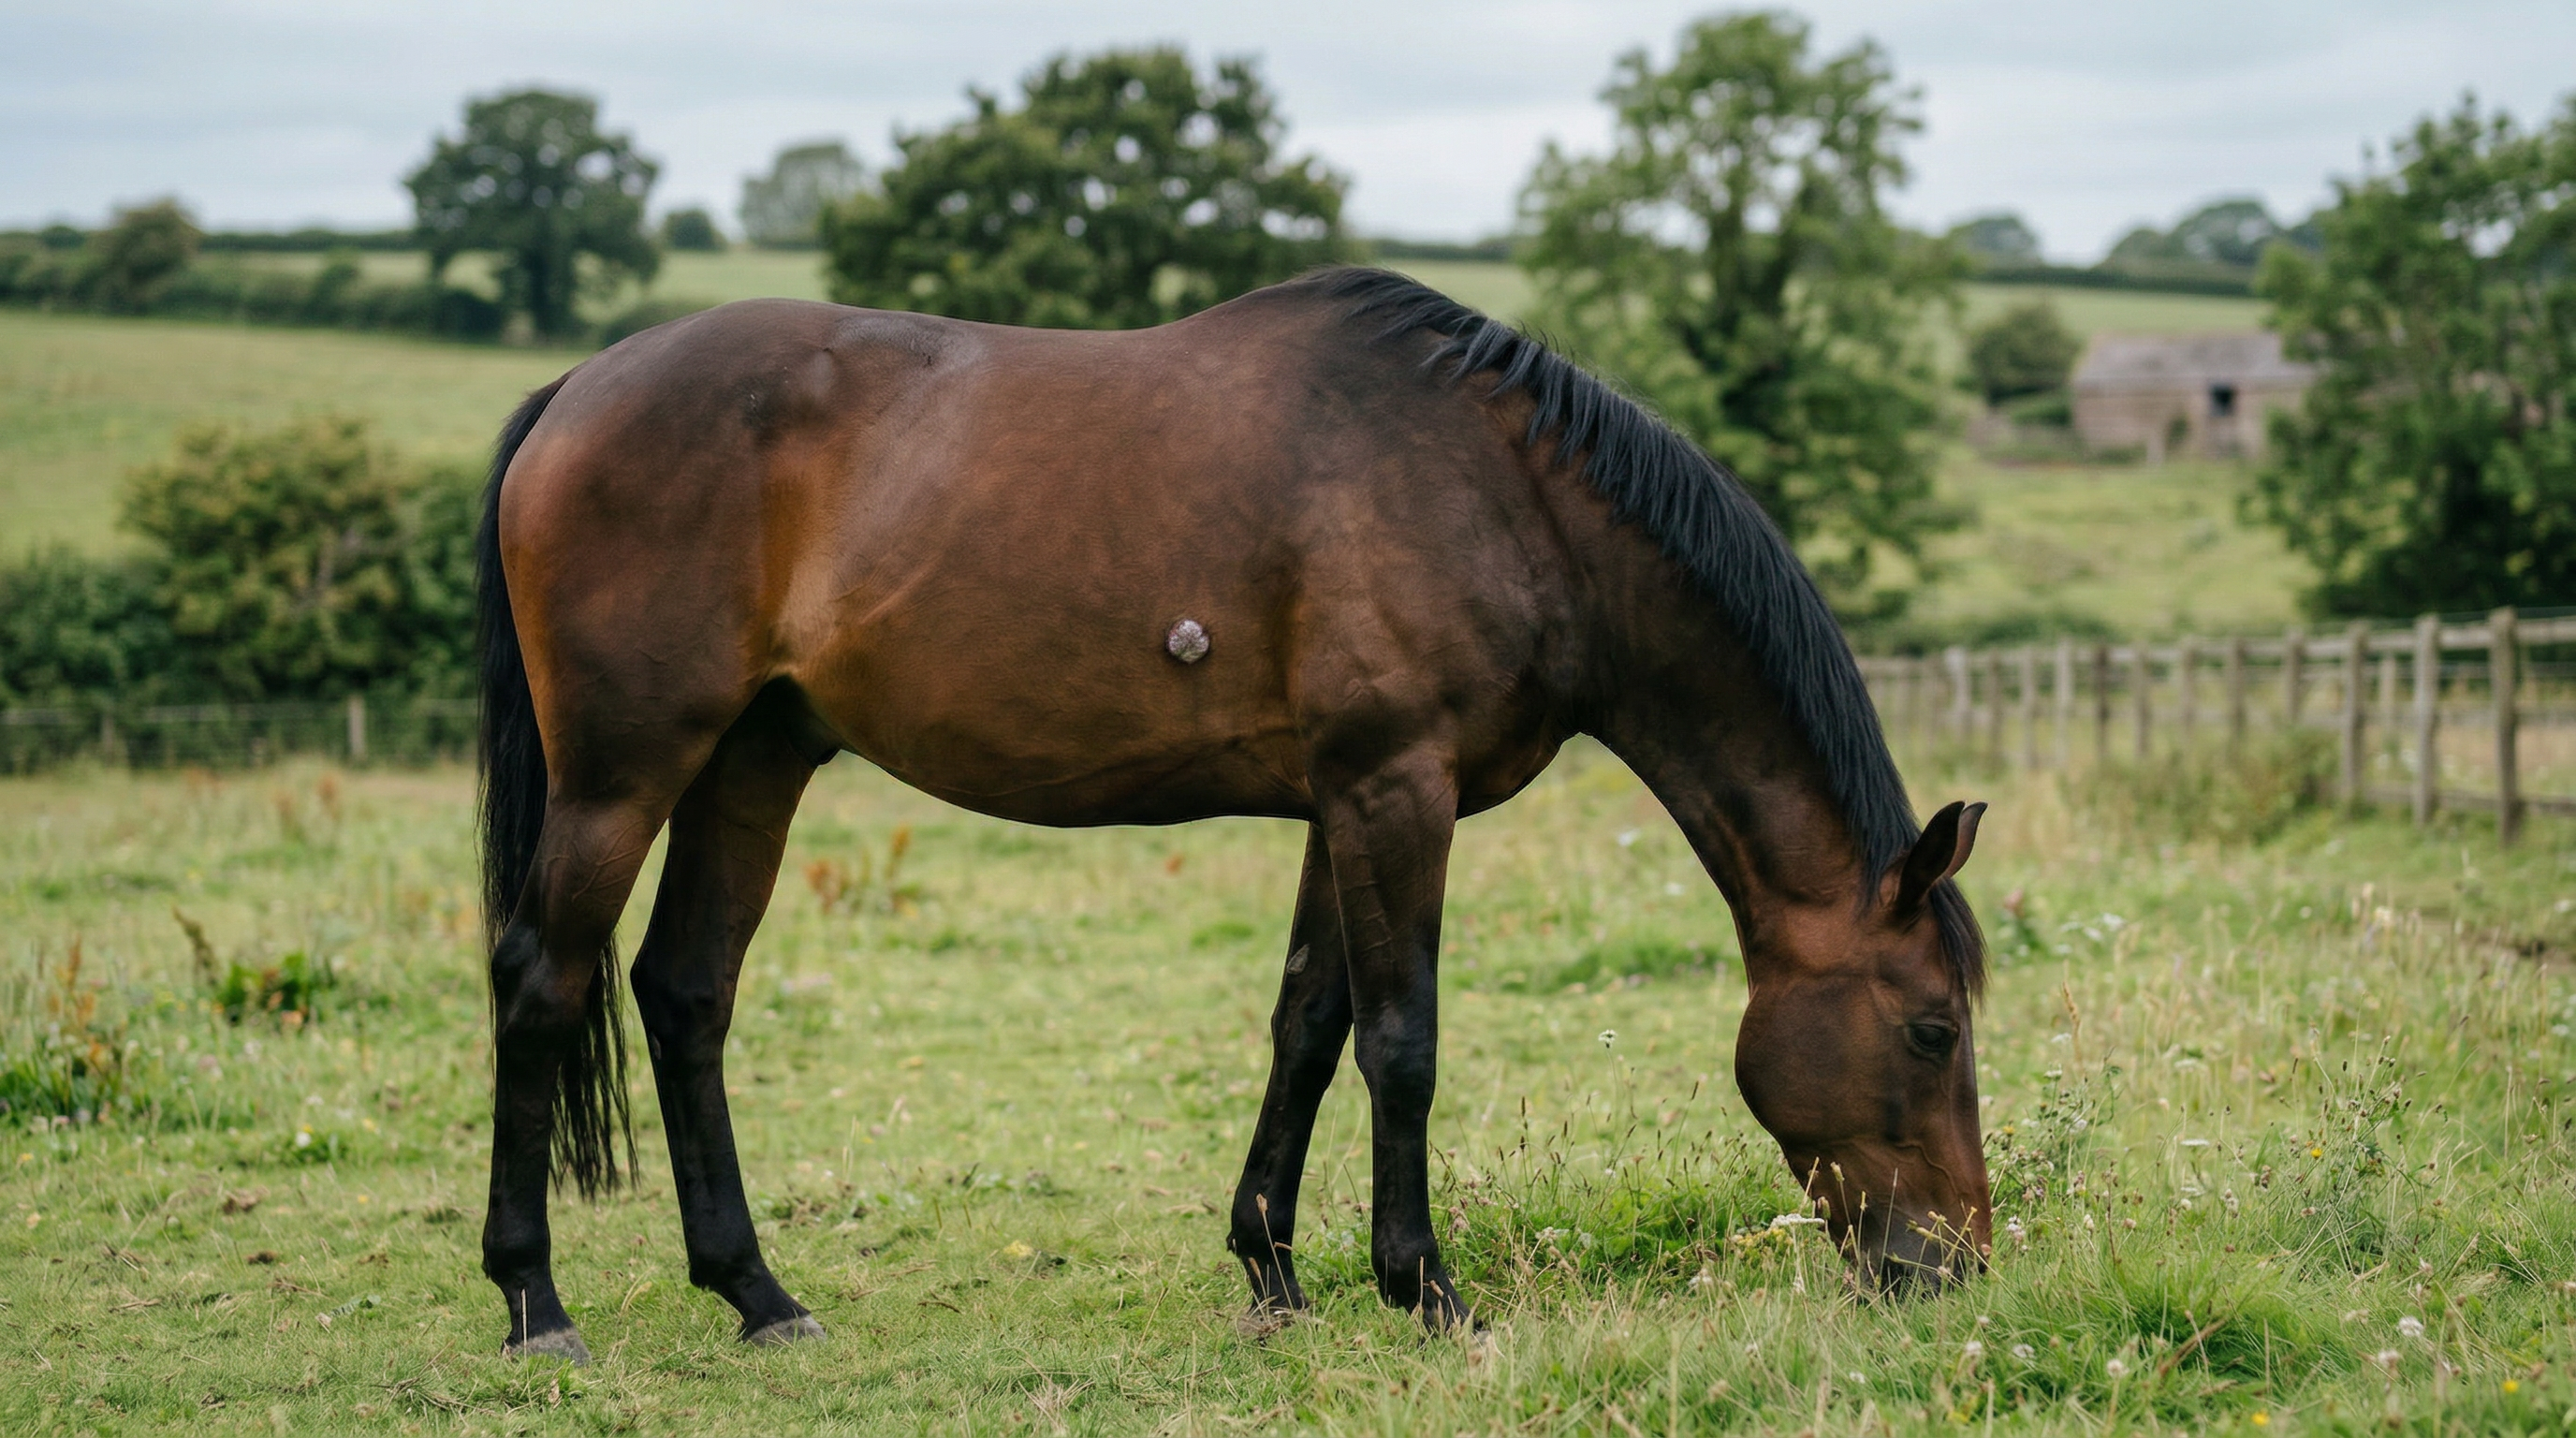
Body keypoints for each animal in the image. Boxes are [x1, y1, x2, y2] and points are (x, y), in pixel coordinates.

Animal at [472, 267, 1990, 1362]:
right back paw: (538, 1306)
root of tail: (575, 390)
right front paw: (1425, 1289)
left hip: (753, 761)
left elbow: (1307, 1027)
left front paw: (1270, 1270)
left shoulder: (1343, 800)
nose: (1959, 1267)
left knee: (685, 994)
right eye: (1933, 1028)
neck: (1507, 499)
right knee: (542, 982)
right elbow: (1400, 1046)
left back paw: (758, 1294)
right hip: (623, 773)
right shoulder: (1395, 789)